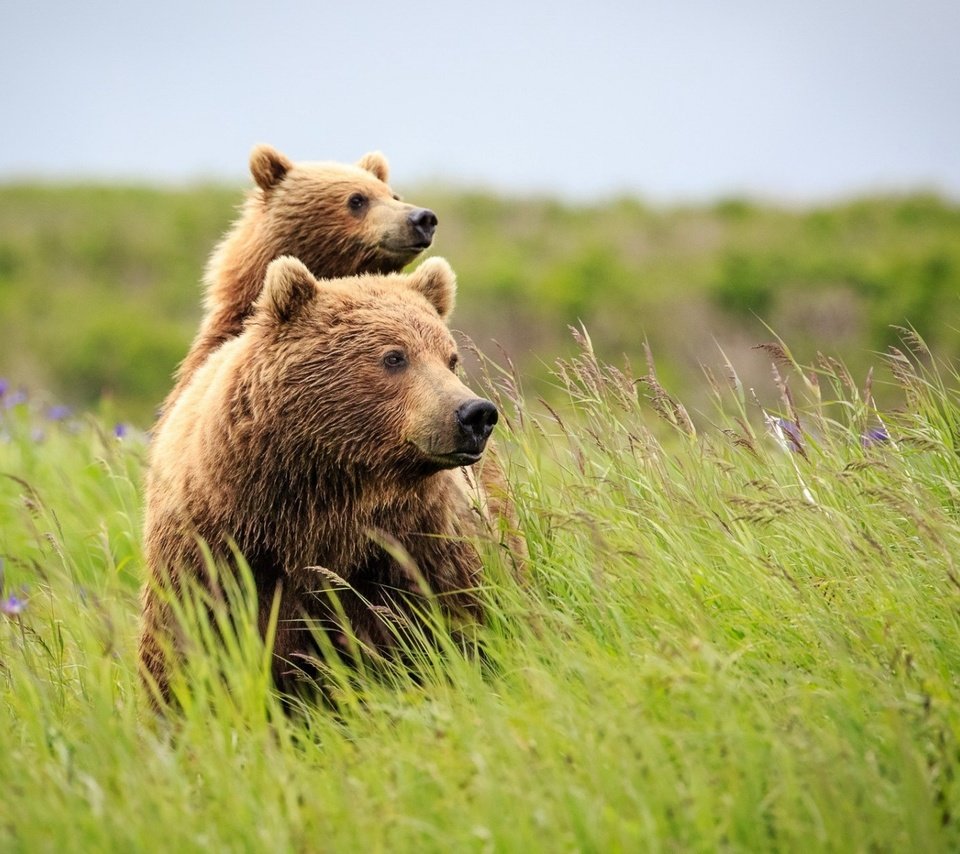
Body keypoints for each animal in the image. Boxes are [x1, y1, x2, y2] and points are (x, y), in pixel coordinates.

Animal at [139, 254, 516, 704]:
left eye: (450, 358)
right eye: (394, 356)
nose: (475, 414)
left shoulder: (417, 542)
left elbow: (460, 619)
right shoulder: (216, 552)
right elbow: (189, 648)